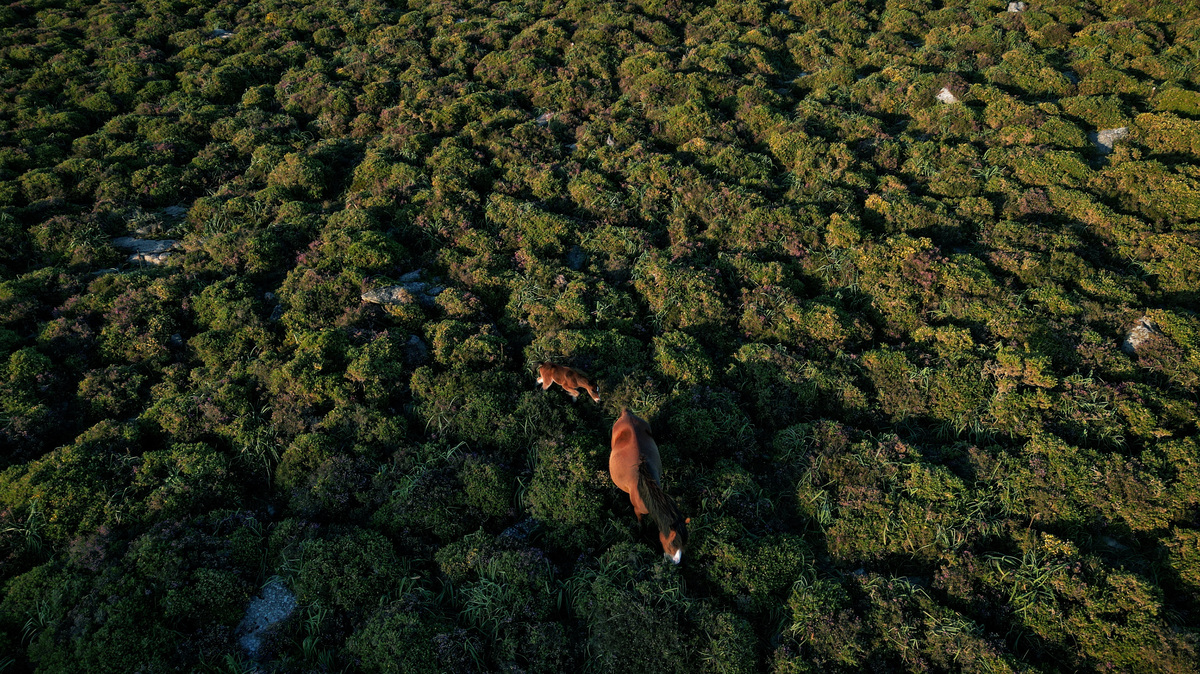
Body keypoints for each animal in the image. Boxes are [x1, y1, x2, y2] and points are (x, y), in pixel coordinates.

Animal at [609, 408, 688, 563]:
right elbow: (641, 524)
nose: (675, 562)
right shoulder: (637, 510)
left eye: (683, 545)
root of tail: (626, 414)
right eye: (672, 544)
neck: (645, 488)